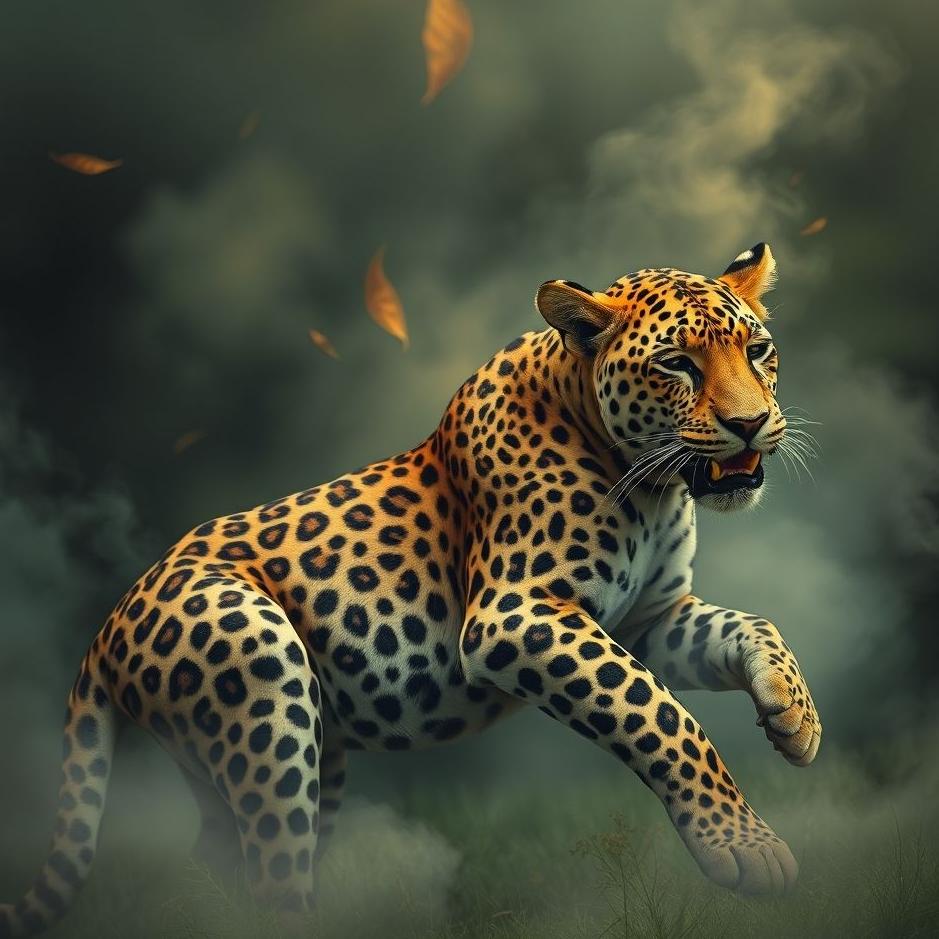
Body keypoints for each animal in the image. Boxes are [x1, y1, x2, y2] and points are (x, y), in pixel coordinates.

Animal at [0, 242, 821, 936]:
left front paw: (793, 716)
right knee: (271, 873)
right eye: (677, 363)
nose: (752, 424)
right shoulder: (515, 615)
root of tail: (108, 623)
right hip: (259, 674)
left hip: (290, 754)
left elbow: (753, 626)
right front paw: (744, 844)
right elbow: (659, 714)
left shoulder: (652, 617)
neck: (649, 485)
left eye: (757, 350)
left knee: (218, 860)